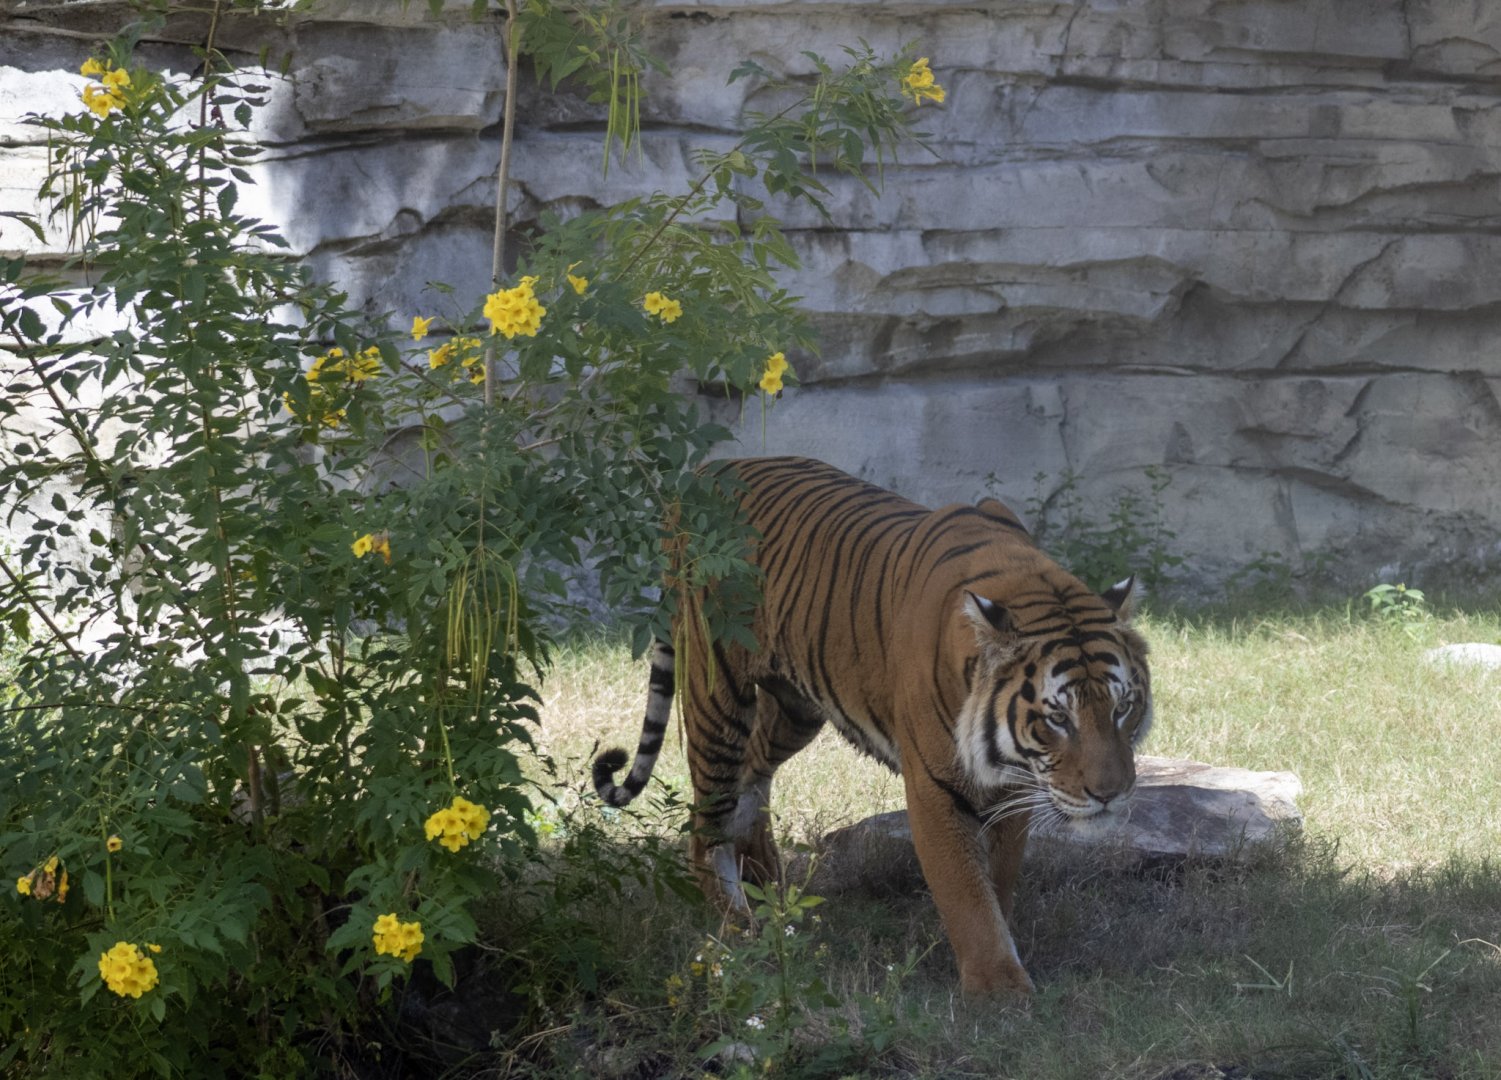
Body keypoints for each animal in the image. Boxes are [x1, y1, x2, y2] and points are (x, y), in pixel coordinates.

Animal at [593, 456, 1152, 995]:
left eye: (1123, 707)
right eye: (1058, 718)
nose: (1111, 795)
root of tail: (700, 476)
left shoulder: (1014, 784)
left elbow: (999, 879)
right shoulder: (937, 786)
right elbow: (967, 890)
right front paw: (999, 990)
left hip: (795, 710)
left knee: (750, 776)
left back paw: (768, 884)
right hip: (717, 693)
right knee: (707, 813)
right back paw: (735, 926)